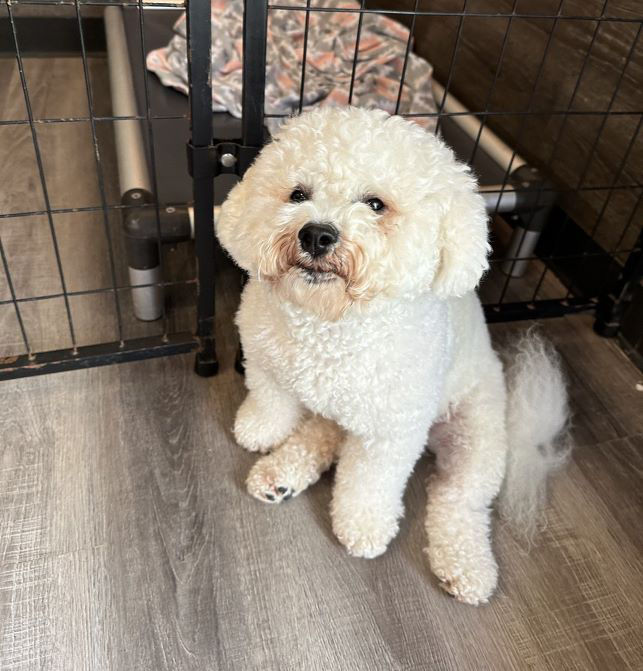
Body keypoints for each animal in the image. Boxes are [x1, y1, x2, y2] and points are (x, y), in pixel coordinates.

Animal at [219, 107, 572, 608]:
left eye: (375, 204)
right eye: (298, 193)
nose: (316, 234)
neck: (329, 325)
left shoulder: (390, 433)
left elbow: (369, 482)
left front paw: (362, 526)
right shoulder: (263, 356)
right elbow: (271, 398)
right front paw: (260, 429)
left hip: (476, 438)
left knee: (457, 499)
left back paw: (466, 568)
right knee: (326, 433)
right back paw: (280, 474)